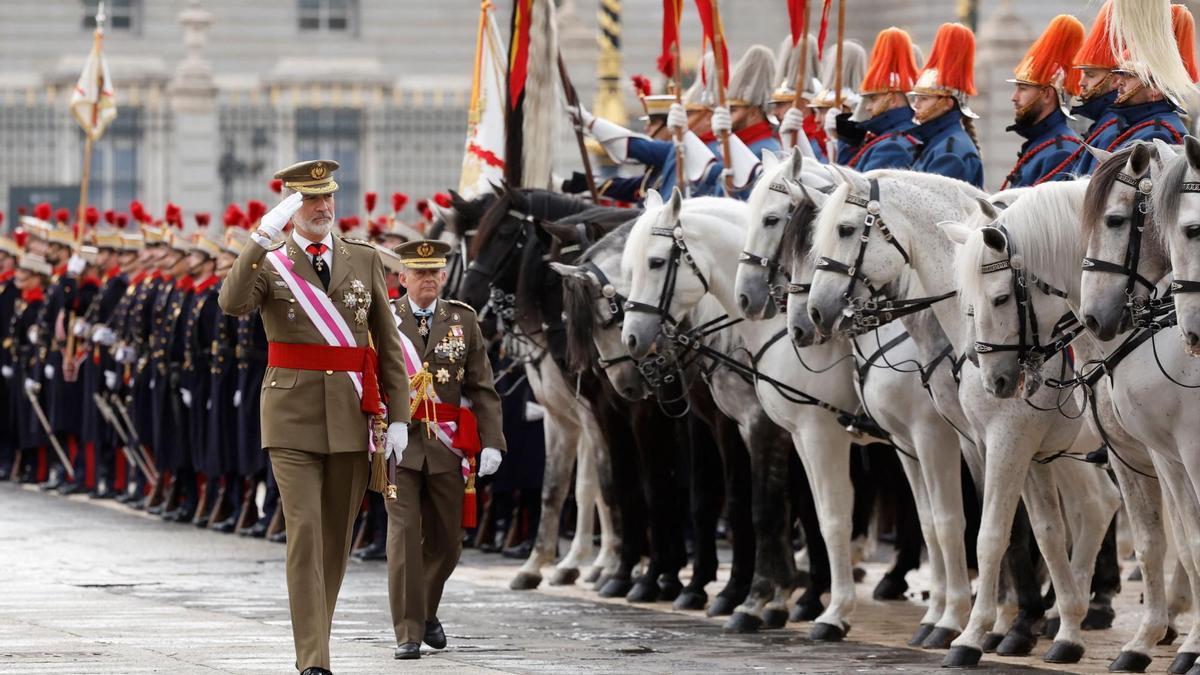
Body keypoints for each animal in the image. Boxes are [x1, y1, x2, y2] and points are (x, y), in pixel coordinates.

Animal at [624, 187, 868, 634]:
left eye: (655, 262)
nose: (632, 340)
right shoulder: (777, 431)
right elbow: (783, 508)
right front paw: (776, 598)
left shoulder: (775, 428)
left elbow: (765, 511)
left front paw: (755, 601)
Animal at [729, 151, 974, 648]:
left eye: (772, 219)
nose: (807, 322)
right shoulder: (882, 442)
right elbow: (834, 517)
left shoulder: (927, 436)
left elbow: (942, 520)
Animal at [801, 168, 1118, 662]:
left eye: (846, 229)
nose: (814, 313)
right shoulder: (978, 443)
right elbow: (1024, 531)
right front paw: (1000, 624)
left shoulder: (993, 440)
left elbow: (988, 531)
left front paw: (975, 630)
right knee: (1098, 504)